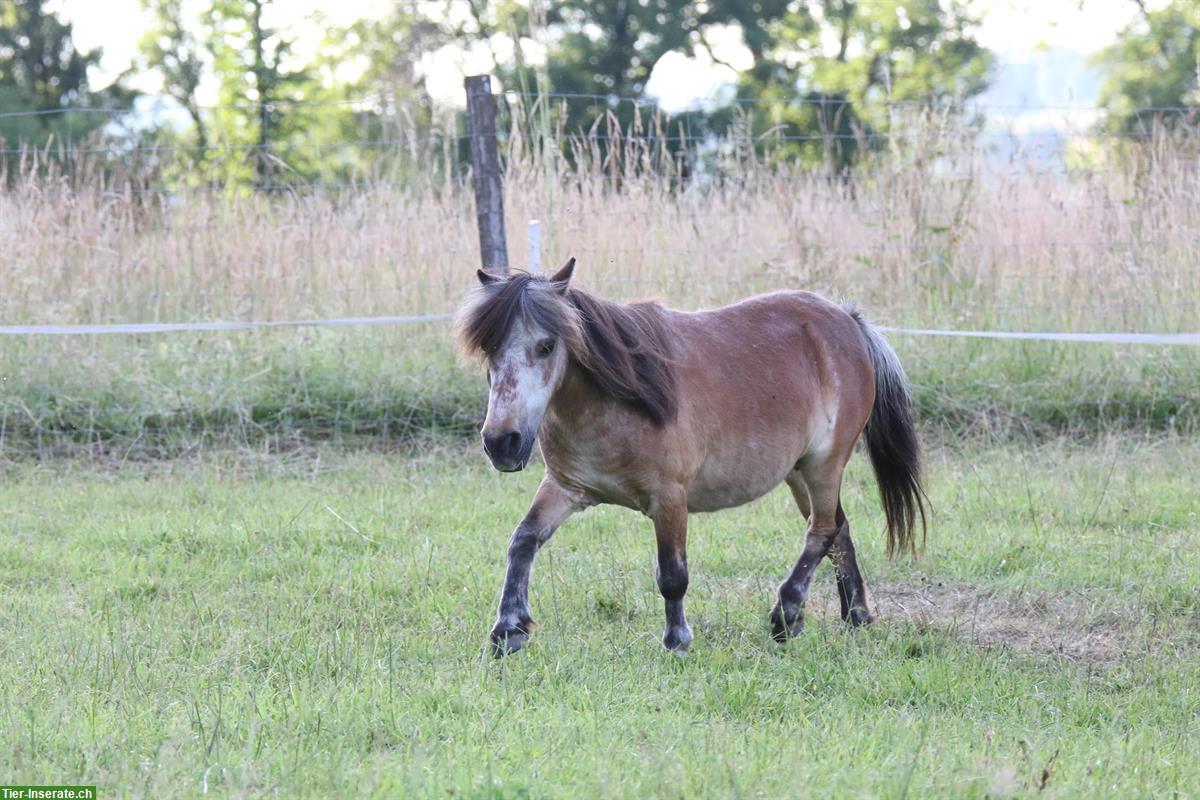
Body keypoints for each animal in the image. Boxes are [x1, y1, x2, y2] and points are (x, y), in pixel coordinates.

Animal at [453, 260, 921, 652]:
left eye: (547, 346)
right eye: (489, 350)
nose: (502, 442)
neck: (619, 401)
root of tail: (847, 320)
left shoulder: (669, 499)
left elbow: (672, 575)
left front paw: (677, 640)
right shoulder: (567, 488)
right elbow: (523, 541)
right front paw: (508, 630)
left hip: (825, 464)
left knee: (821, 532)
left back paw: (787, 614)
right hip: (798, 472)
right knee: (837, 529)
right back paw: (855, 615)